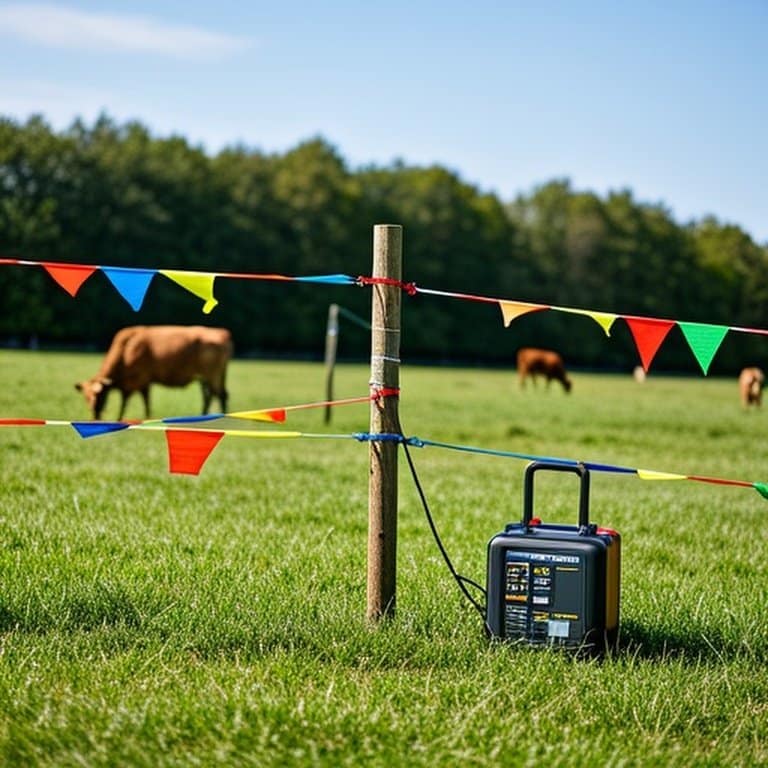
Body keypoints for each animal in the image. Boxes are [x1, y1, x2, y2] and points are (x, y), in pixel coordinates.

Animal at [75, 325, 233, 420]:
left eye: (100, 396)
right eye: (86, 397)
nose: (95, 415)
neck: (126, 350)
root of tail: (221, 332)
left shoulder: (140, 379)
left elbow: (136, 401)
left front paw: (143, 418)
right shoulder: (137, 383)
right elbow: (134, 400)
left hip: (212, 374)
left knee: (219, 394)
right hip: (207, 377)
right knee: (210, 396)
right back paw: (204, 416)